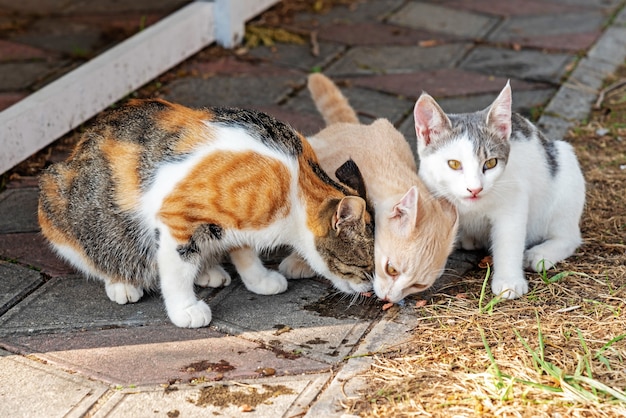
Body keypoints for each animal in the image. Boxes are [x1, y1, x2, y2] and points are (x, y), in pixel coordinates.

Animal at [39, 99, 372, 328]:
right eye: (366, 267)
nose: (373, 291)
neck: (295, 182)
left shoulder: (237, 221)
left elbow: (244, 250)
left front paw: (259, 279)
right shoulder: (176, 217)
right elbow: (175, 271)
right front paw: (185, 309)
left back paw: (208, 270)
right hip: (60, 202)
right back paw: (121, 282)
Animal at [412, 81, 584, 298]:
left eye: (491, 163)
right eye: (454, 164)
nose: (475, 188)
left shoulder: (513, 199)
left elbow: (508, 240)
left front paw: (509, 281)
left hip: (565, 166)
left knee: (569, 237)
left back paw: (540, 253)